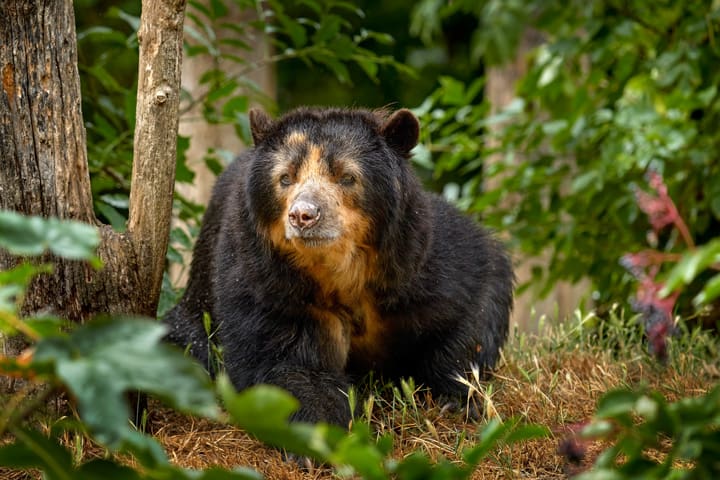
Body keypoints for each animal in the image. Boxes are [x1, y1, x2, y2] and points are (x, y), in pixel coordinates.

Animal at [164, 106, 514, 426]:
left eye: (347, 177)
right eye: (285, 178)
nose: (303, 215)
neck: (339, 268)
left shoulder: (416, 262)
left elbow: (472, 295)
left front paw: (456, 399)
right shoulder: (265, 282)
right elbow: (284, 361)